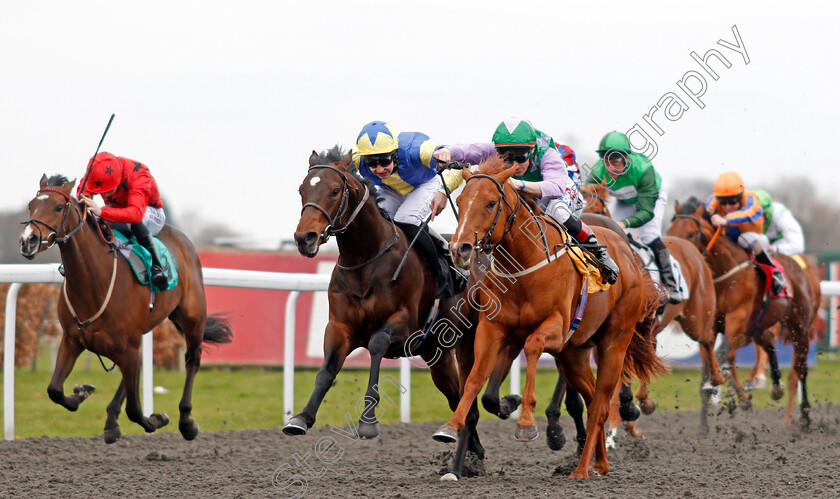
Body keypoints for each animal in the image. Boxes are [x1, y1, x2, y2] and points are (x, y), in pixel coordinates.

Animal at [20, 174, 230, 444]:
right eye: (31, 205)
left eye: (58, 207)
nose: (28, 241)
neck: (93, 282)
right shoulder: (72, 339)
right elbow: (54, 390)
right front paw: (82, 392)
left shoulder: (127, 345)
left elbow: (135, 409)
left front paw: (157, 419)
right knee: (135, 369)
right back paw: (111, 421)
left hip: (193, 318)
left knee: (192, 360)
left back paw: (186, 422)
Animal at [288, 147, 486, 480]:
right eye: (302, 190)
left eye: (335, 190)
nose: (306, 238)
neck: (365, 259)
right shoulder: (339, 326)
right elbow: (326, 371)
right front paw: (301, 418)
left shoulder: (405, 326)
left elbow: (377, 344)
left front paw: (368, 421)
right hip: (438, 359)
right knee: (461, 403)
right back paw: (470, 453)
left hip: (468, 340)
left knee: (469, 403)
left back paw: (459, 463)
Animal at [434, 158, 664, 478]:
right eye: (461, 200)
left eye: (491, 203)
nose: (460, 249)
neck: (523, 265)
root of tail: (629, 256)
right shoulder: (493, 329)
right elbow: (475, 378)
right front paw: (450, 426)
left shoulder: (555, 327)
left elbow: (532, 346)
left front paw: (526, 422)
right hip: (574, 353)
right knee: (593, 399)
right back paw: (599, 464)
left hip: (614, 343)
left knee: (602, 401)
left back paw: (581, 470)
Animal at [668, 197, 816, 428]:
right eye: (670, 230)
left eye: (691, 234)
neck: (724, 275)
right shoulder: (711, 326)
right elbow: (711, 366)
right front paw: (703, 427)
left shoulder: (736, 320)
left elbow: (723, 357)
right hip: (758, 326)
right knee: (769, 343)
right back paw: (774, 387)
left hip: (798, 327)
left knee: (801, 368)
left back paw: (805, 417)